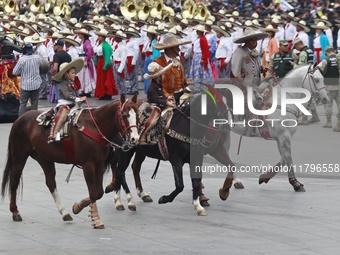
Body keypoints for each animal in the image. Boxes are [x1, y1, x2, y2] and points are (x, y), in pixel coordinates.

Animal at [1, 94, 139, 229]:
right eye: (125, 115)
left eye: (137, 114)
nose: (135, 138)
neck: (94, 127)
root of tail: (20, 119)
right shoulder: (88, 165)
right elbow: (93, 193)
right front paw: (92, 216)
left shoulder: (99, 164)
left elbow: (98, 192)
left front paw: (81, 208)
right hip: (19, 156)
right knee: (14, 181)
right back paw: (15, 212)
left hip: (44, 158)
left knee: (51, 183)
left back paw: (64, 213)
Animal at [218, 63, 330, 197]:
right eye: (316, 79)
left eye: (322, 78)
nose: (325, 99)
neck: (284, 101)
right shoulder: (284, 137)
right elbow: (288, 159)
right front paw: (296, 184)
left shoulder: (281, 138)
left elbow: (283, 160)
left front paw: (264, 177)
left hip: (225, 133)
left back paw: (236, 181)